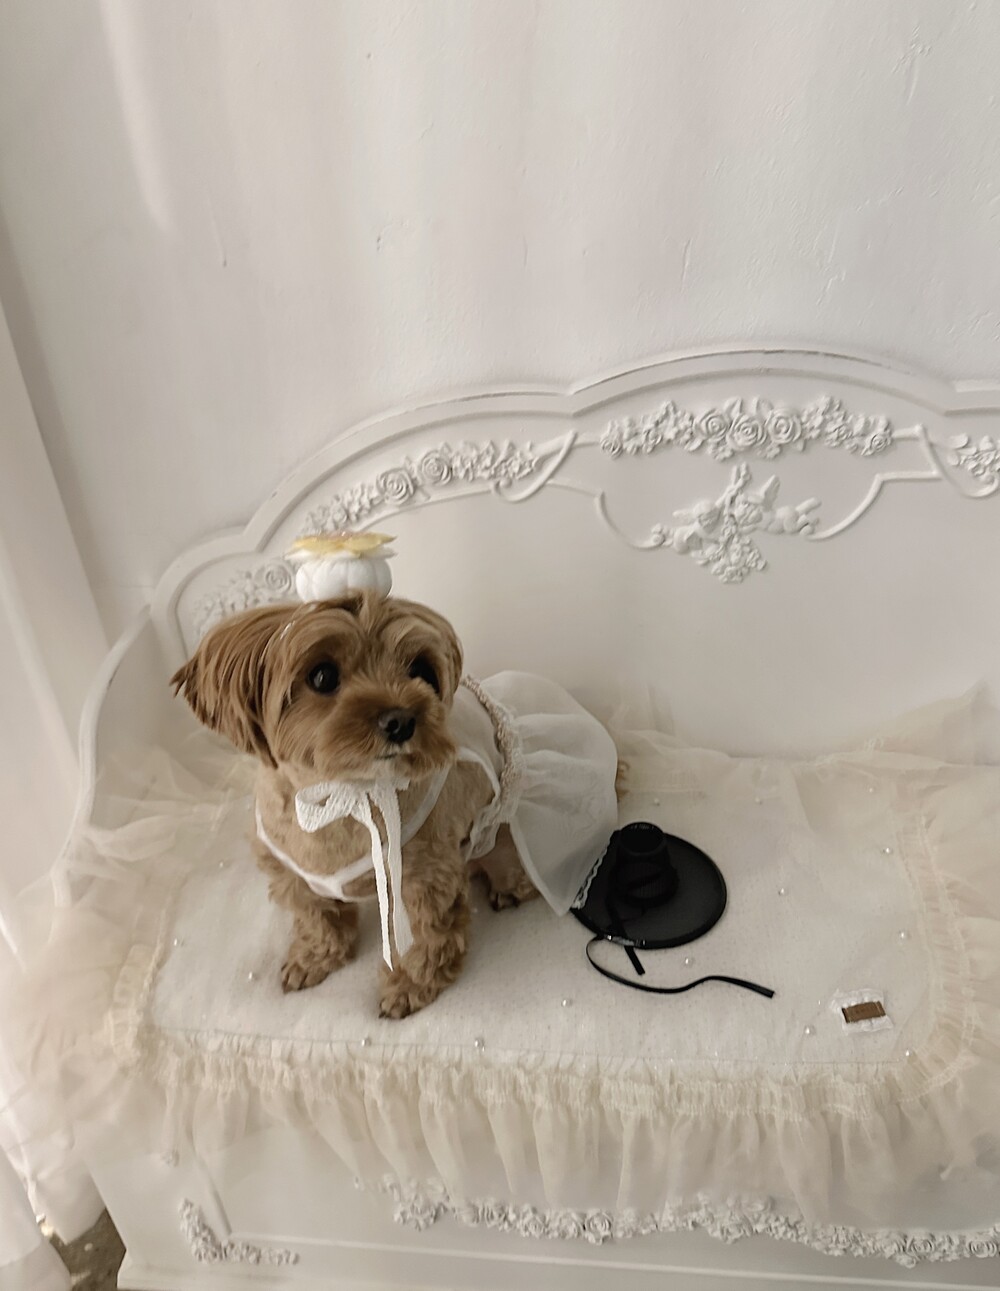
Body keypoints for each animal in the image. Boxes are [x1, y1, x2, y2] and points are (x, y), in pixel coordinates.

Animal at [172, 592, 543, 1018]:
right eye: (322, 676)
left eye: (421, 671)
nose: (401, 720)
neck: (342, 796)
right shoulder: (288, 870)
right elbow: (316, 916)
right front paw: (314, 958)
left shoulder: (423, 876)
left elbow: (427, 937)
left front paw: (410, 986)